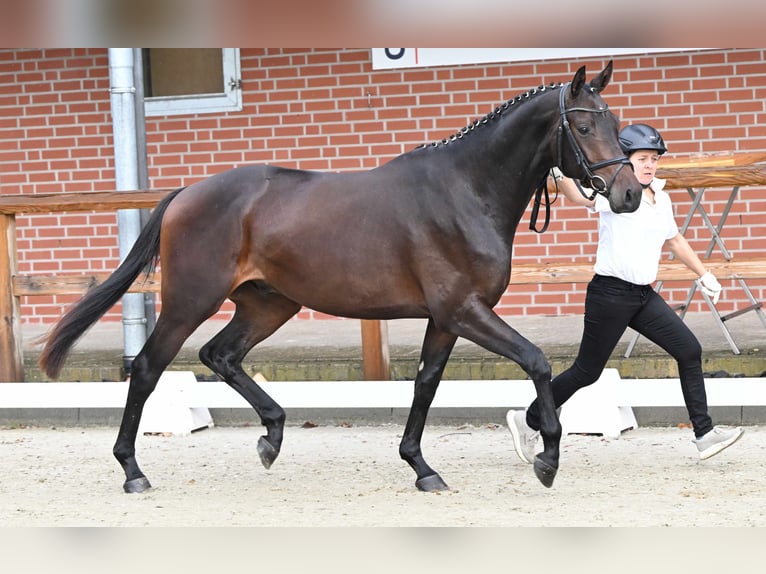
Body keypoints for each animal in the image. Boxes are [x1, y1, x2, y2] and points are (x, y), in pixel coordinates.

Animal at [40, 61, 640, 494]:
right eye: (583, 124)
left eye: (616, 124)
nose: (630, 194)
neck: (466, 190)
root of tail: (187, 193)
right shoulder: (464, 310)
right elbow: (536, 360)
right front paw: (547, 457)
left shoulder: (446, 318)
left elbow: (425, 383)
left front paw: (422, 468)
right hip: (191, 301)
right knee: (146, 369)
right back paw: (132, 471)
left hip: (268, 303)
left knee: (220, 355)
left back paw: (272, 437)